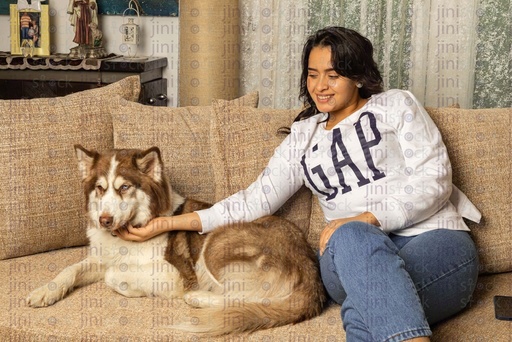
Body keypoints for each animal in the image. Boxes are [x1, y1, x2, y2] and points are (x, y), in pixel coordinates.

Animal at [27, 146, 324, 336]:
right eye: (100, 188)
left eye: (125, 187)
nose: (105, 220)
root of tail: (312, 273)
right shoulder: (101, 257)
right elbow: (71, 269)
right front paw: (45, 291)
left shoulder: (173, 274)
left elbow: (114, 276)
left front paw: (132, 289)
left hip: (217, 245)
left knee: (247, 300)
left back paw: (199, 298)